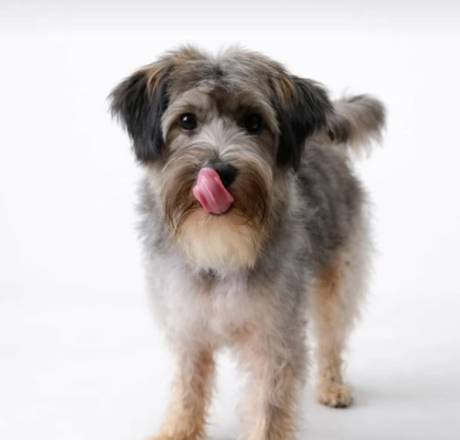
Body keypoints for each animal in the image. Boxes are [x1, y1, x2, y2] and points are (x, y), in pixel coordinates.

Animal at [110, 46, 384, 440]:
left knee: (332, 336)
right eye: (187, 121)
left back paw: (333, 386)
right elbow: (187, 389)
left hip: (339, 278)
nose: (219, 171)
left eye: (253, 122)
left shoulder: (274, 337)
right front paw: (177, 431)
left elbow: (267, 407)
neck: (220, 245)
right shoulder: (187, 325)